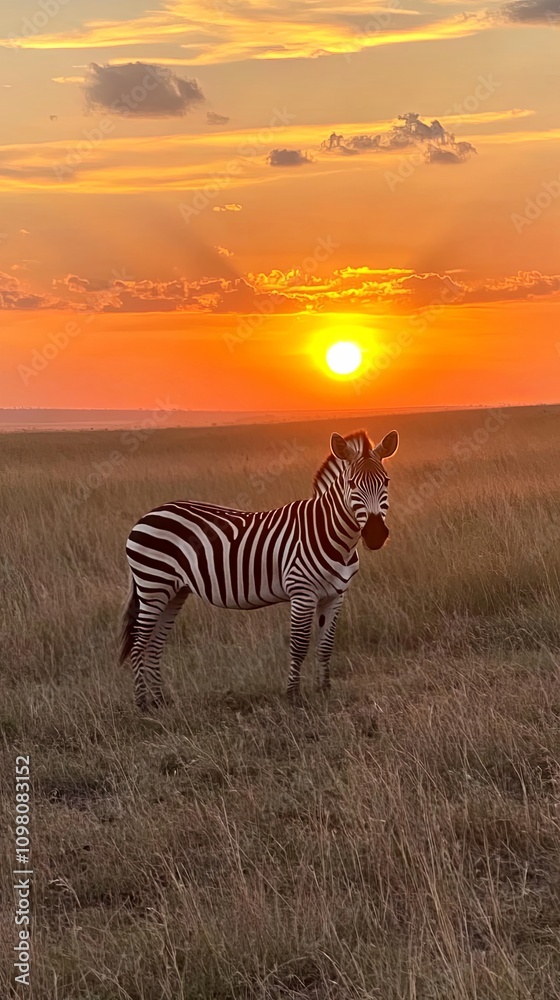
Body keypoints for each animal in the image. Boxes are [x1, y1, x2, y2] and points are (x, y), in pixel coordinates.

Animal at [120, 428, 398, 709]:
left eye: (386, 481)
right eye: (352, 484)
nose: (375, 535)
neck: (329, 533)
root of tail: (147, 515)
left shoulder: (336, 595)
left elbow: (326, 645)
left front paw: (324, 691)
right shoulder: (302, 592)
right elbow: (299, 645)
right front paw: (292, 695)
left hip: (174, 592)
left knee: (155, 644)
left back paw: (160, 701)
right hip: (153, 585)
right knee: (139, 644)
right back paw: (142, 703)